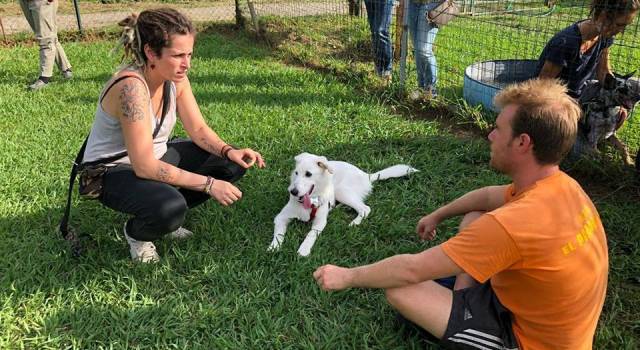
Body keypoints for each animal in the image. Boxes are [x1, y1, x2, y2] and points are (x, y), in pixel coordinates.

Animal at [268, 152, 418, 256]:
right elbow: (279, 234)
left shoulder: (320, 222)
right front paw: (274, 246)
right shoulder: (281, 217)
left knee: (365, 208)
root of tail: (367, 175)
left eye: (308, 174)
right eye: (296, 173)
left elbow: (310, 235)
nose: (293, 191)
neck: (310, 202)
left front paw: (304, 249)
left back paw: (354, 223)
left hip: (341, 190)